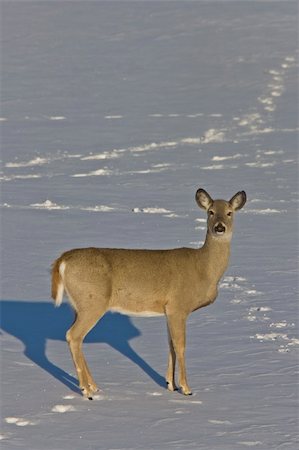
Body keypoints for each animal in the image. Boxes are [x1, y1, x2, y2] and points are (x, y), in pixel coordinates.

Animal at [51, 188, 247, 400]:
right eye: (210, 212)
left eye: (229, 212)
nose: (219, 228)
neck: (203, 269)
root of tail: (63, 260)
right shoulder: (178, 306)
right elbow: (180, 346)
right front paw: (186, 389)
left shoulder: (168, 310)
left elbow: (170, 345)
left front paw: (171, 385)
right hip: (93, 302)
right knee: (73, 335)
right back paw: (86, 391)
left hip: (78, 305)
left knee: (76, 338)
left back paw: (94, 387)